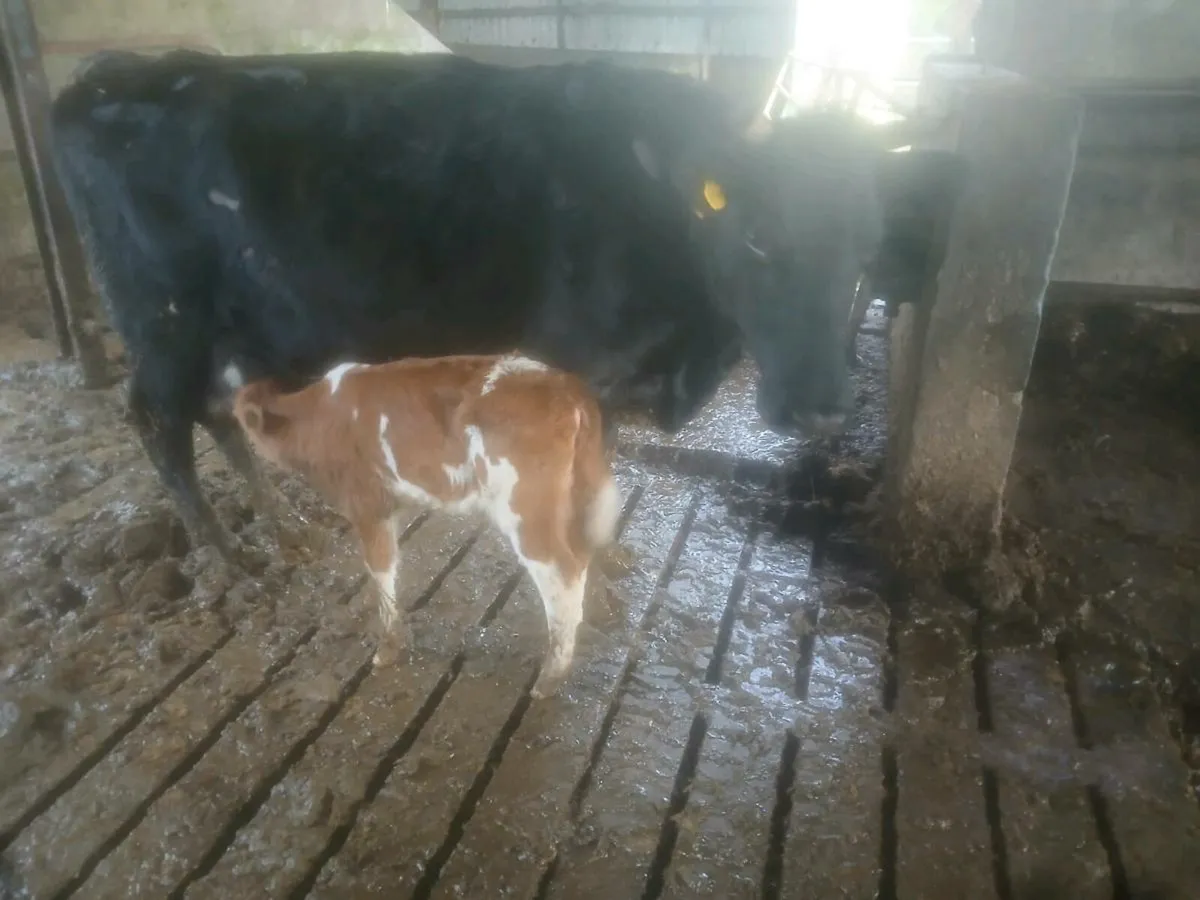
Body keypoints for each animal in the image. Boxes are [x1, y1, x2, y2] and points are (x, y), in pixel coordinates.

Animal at [49, 48, 966, 565]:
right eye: (758, 238)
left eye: (867, 247)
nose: (821, 408)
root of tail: (106, 75)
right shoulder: (577, 362)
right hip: (164, 317)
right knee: (157, 419)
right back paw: (225, 555)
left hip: (228, 327)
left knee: (214, 414)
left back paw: (281, 530)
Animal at [227, 352, 621, 697]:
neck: (317, 416)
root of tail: (567, 386)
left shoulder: (367, 506)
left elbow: (381, 573)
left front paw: (387, 649)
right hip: (571, 499)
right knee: (583, 553)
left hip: (526, 509)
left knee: (563, 573)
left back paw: (550, 678)